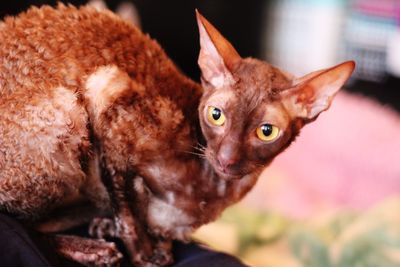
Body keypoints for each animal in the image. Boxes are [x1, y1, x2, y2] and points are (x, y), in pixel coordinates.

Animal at [0, 3, 356, 266]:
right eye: (216, 115)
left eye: (266, 132)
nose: (226, 159)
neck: (214, 189)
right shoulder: (106, 94)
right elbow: (125, 207)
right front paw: (141, 251)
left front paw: (150, 239)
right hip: (66, 115)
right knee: (21, 223)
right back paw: (93, 250)